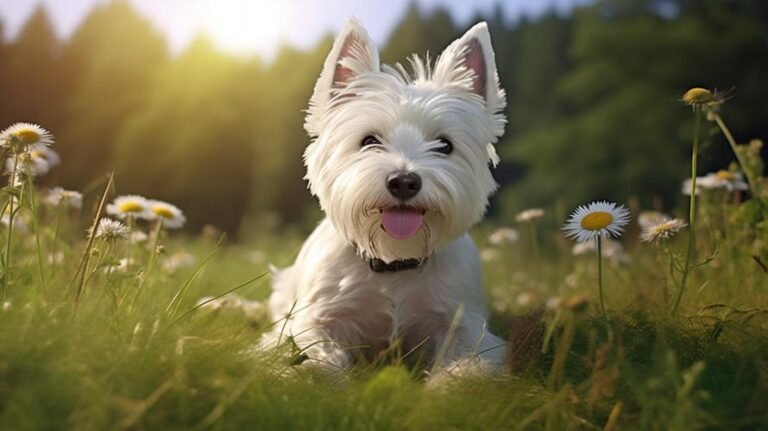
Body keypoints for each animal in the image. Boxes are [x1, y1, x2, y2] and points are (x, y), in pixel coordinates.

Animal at [264, 17, 510, 378]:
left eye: (444, 145)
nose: (404, 182)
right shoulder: (317, 318)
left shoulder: (461, 322)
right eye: (369, 141)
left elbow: (468, 364)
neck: (393, 261)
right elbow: (311, 353)